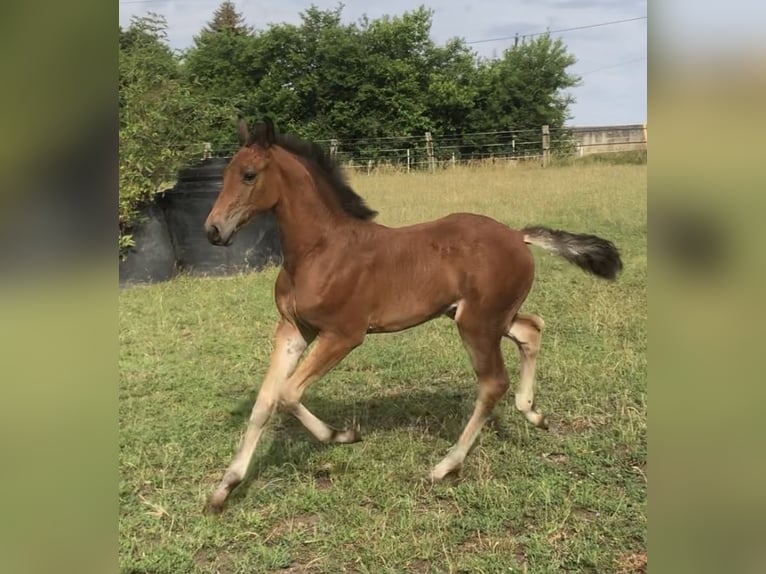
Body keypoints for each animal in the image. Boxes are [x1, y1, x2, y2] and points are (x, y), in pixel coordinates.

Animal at [204, 119, 624, 516]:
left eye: (249, 175)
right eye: (223, 174)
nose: (213, 230)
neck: (319, 250)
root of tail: (518, 236)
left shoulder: (343, 334)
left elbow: (288, 393)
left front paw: (342, 435)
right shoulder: (292, 330)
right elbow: (265, 401)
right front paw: (225, 488)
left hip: (477, 324)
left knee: (493, 382)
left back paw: (446, 466)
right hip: (491, 316)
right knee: (531, 329)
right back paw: (533, 414)